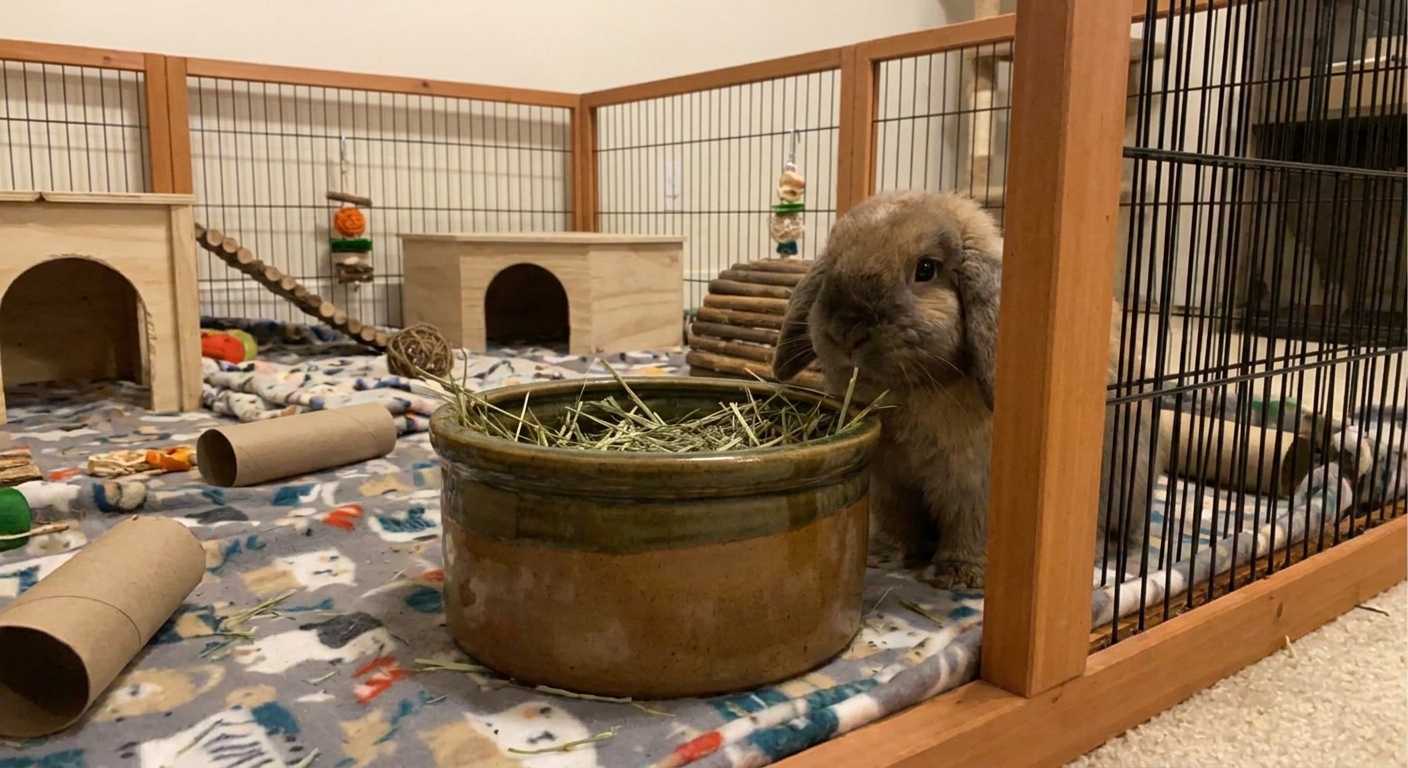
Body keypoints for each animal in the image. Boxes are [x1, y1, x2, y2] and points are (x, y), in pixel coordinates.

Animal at [772, 189, 1167, 589]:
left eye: (925, 269)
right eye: (833, 260)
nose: (846, 331)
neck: (911, 388)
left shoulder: (974, 481)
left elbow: (970, 526)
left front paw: (960, 576)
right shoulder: (889, 481)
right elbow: (896, 519)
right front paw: (883, 555)